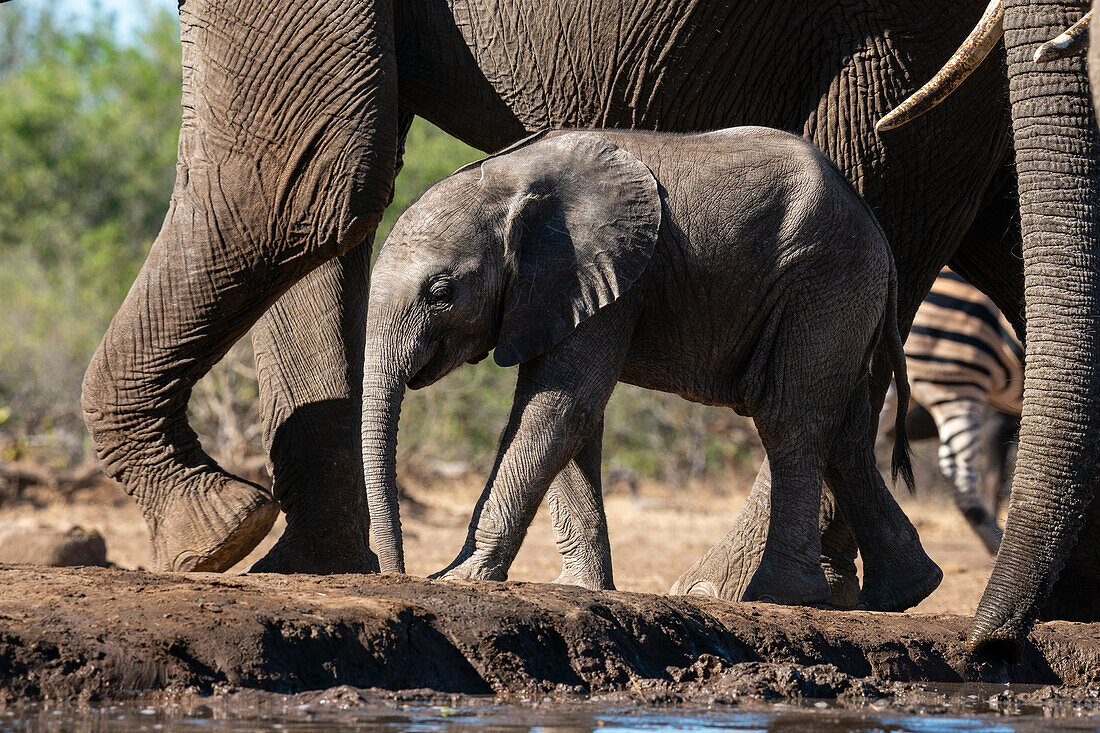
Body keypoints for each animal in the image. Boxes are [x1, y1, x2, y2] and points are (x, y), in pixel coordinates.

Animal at [365, 128, 941, 607]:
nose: (396, 573)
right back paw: (907, 591)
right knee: (844, 429)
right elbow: (573, 418)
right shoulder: (567, 290)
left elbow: (558, 406)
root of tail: (879, 234)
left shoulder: (607, 274)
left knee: (788, 418)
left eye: (442, 292)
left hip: (824, 283)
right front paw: (581, 589)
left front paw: (459, 578)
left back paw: (781, 596)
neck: (511, 177)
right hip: (846, 295)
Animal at [875, 269, 1020, 554]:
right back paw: (995, 544)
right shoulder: (998, 419)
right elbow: (994, 480)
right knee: (957, 469)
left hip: (894, 383)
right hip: (957, 381)